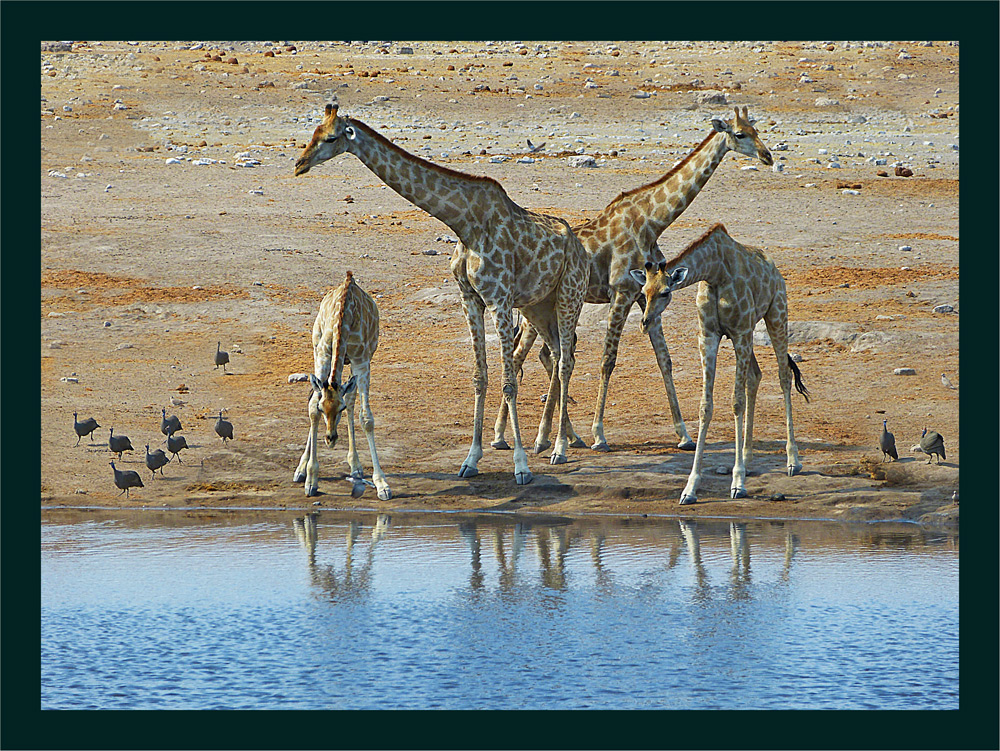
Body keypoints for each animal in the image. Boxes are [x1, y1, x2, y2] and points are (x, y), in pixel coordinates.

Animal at [290, 270, 390, 500]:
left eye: (340, 409)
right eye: (323, 409)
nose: (330, 438)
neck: (345, 318)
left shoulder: (361, 361)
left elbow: (366, 418)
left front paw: (381, 483)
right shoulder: (323, 353)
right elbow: (312, 404)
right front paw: (310, 479)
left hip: (355, 361)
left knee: (352, 399)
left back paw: (355, 465)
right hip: (320, 348)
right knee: (317, 393)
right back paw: (301, 469)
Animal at [492, 108, 772, 456]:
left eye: (757, 129)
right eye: (739, 134)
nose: (767, 156)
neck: (652, 221)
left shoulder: (646, 295)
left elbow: (664, 360)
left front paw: (684, 435)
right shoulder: (622, 291)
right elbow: (607, 361)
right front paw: (599, 435)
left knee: (543, 354)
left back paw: (561, 436)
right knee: (522, 356)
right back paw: (506, 436)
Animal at [632, 223, 812, 506]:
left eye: (665, 292)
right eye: (643, 293)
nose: (645, 323)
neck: (716, 271)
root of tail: (774, 269)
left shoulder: (739, 332)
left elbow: (736, 402)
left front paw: (738, 484)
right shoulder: (708, 336)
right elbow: (705, 407)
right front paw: (690, 488)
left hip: (776, 314)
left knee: (783, 376)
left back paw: (792, 461)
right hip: (751, 332)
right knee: (755, 376)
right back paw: (747, 458)